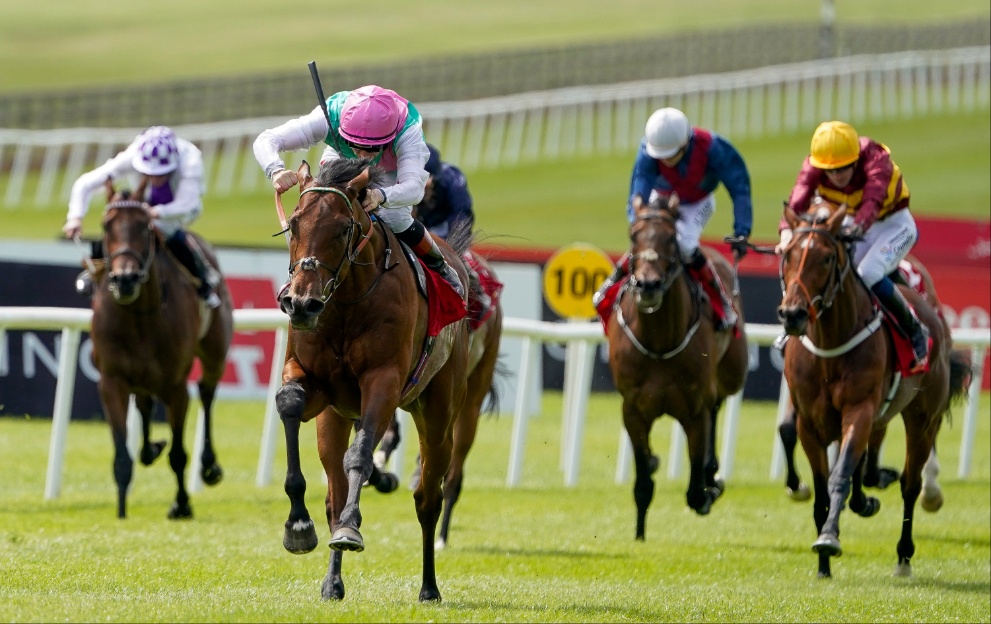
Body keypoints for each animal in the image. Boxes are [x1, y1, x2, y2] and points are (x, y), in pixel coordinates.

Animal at [91, 178, 234, 520]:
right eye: (106, 225)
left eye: (144, 227)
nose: (125, 279)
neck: (139, 315)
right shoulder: (112, 381)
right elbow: (122, 455)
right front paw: (121, 510)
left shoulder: (175, 386)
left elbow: (179, 454)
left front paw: (181, 503)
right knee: (144, 405)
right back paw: (150, 448)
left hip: (214, 352)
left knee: (207, 391)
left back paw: (209, 465)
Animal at [272, 158, 472, 604]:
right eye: (293, 223)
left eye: (343, 228)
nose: (302, 303)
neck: (345, 303)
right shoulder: (314, 382)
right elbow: (289, 405)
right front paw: (298, 525)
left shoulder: (383, 382)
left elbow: (361, 456)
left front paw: (351, 527)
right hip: (334, 419)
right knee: (334, 490)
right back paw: (332, 582)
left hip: (438, 412)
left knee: (428, 498)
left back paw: (429, 587)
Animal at [604, 193, 752, 540]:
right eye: (633, 235)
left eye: (671, 238)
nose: (648, 284)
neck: (659, 342)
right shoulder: (633, 410)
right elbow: (643, 482)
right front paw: (640, 535)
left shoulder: (694, 410)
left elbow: (695, 490)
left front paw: (708, 489)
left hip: (731, 374)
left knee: (717, 405)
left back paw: (713, 475)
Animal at [776, 197, 968, 576]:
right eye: (788, 254)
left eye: (826, 257)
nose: (792, 314)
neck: (830, 344)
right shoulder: (810, 421)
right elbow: (820, 485)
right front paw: (822, 564)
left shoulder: (860, 410)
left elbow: (839, 475)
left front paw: (829, 539)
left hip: (921, 417)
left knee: (911, 483)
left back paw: (905, 553)